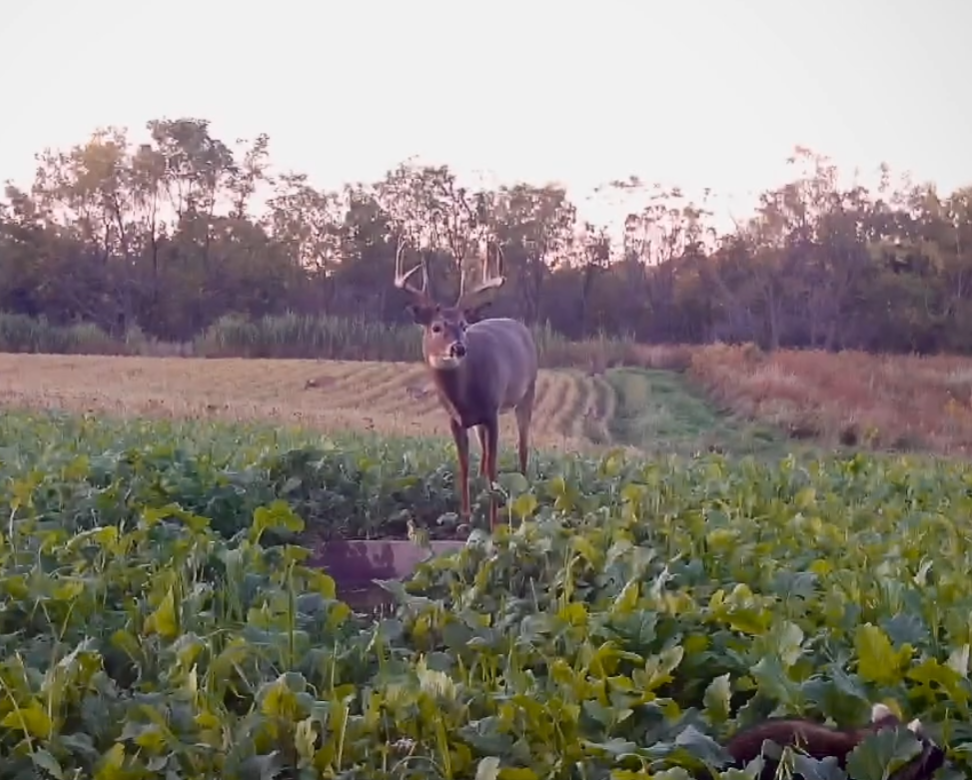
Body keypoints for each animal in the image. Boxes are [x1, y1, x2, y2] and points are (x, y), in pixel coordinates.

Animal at [393, 234, 539, 530]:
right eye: (436, 327)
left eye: (462, 325)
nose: (458, 348)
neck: (464, 396)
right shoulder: (454, 419)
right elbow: (463, 466)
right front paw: (465, 518)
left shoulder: (492, 413)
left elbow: (494, 468)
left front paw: (494, 523)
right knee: (483, 459)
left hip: (527, 392)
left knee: (522, 447)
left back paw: (522, 490)